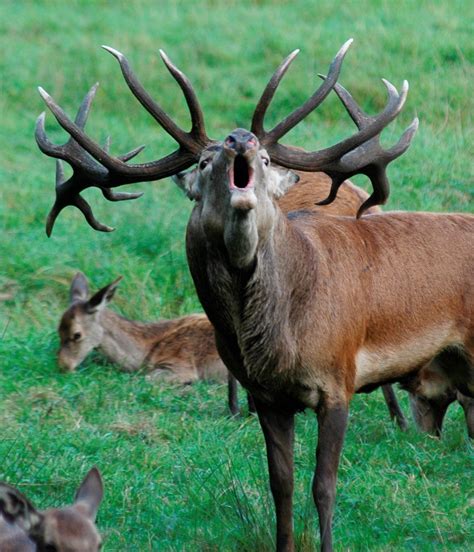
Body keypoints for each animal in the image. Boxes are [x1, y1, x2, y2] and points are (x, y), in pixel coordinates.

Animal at [35, 40, 472, 552]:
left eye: (264, 159)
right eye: (203, 163)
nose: (239, 138)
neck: (280, 339)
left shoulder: (338, 380)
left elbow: (324, 486)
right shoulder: (267, 396)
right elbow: (280, 483)